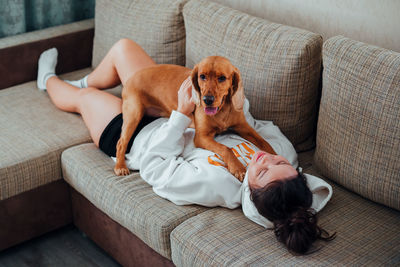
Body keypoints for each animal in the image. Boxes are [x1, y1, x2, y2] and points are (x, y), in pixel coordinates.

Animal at [112, 56, 276, 182]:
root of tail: (130, 78)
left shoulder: (244, 127)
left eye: (222, 78)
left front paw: (275, 157)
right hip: (133, 113)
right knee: (121, 142)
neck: (222, 110)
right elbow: (226, 148)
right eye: (202, 76)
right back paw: (120, 166)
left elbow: (265, 142)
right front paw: (238, 167)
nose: (207, 100)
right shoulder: (202, 137)